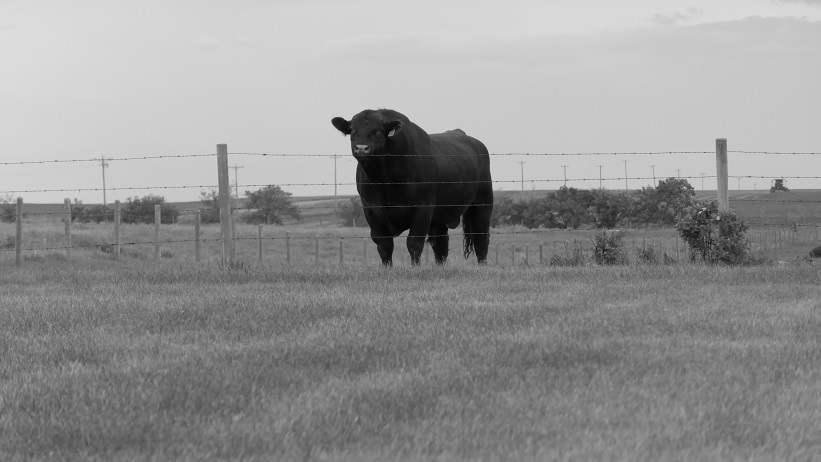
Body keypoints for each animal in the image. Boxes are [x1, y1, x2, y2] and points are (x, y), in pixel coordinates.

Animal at [331, 109, 493, 266]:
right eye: (352, 130)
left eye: (377, 130)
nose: (361, 148)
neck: (385, 183)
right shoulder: (371, 210)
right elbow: (384, 245)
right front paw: (387, 268)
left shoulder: (423, 208)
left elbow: (414, 243)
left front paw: (415, 268)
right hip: (441, 216)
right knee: (441, 244)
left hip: (483, 203)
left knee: (481, 238)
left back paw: (482, 265)